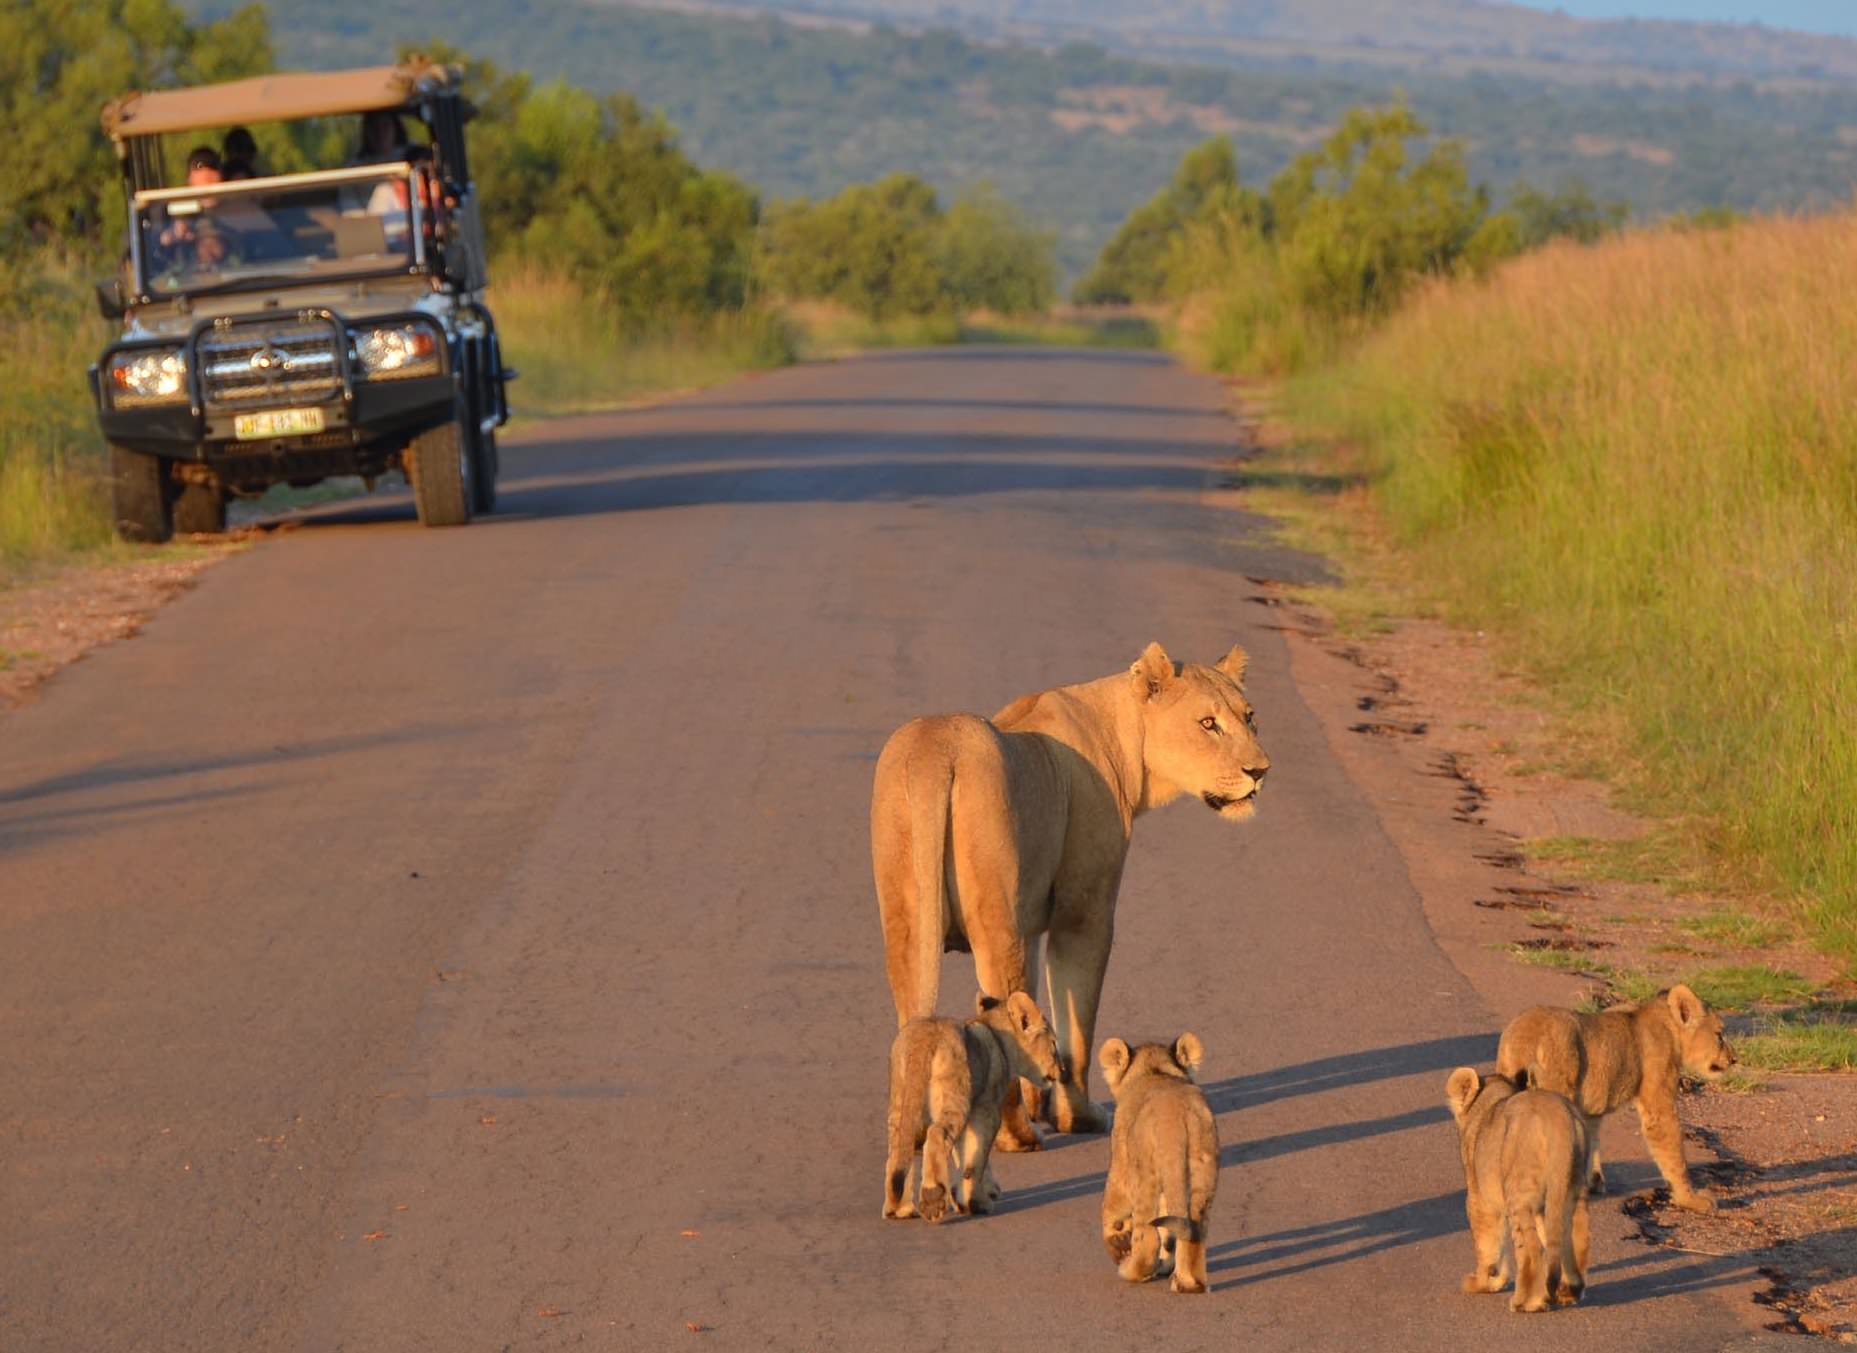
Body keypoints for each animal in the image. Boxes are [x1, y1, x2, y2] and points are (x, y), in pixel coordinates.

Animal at [871, 641, 1267, 1142]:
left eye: (1250, 717)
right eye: (1208, 724)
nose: (1260, 771)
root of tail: (937, 752)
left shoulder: (1032, 922)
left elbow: (1040, 1011)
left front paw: (1044, 1097)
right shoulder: (1083, 914)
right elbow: (1076, 1023)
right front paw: (1078, 1115)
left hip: (908, 919)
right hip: (995, 919)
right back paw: (1018, 1136)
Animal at [883, 991, 1062, 1222]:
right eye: (1054, 1044)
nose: (1062, 1070)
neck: (1000, 1040)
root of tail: (924, 1038)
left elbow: (965, 1156)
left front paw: (968, 1196)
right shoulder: (986, 1111)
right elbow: (975, 1159)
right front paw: (975, 1202)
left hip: (901, 1102)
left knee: (898, 1151)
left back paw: (898, 1208)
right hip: (956, 1097)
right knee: (936, 1134)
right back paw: (932, 1197)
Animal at [1099, 1034, 1219, 1294]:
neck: (1154, 1071)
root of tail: (1175, 1117)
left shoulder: (1121, 1158)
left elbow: (1113, 1206)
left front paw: (1117, 1240)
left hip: (1144, 1174)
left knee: (1148, 1234)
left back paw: (1131, 1270)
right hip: (1203, 1169)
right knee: (1194, 1230)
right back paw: (1188, 1283)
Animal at [1445, 1068, 1590, 1313]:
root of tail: (1558, 1117)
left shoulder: (1480, 1200)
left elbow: (1486, 1245)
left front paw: (1482, 1282)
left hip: (1519, 1192)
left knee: (1531, 1249)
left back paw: (1526, 1302)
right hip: (1572, 1186)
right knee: (1575, 1236)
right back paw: (1569, 1291)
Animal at [1495, 983, 1735, 1213]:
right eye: (1719, 1035)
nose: (1734, 1059)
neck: (1670, 1028)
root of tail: (1523, 1036)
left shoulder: (1592, 1108)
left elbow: (1592, 1140)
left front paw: (1593, 1182)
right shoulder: (1657, 1102)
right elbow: (1674, 1153)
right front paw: (1690, 1199)